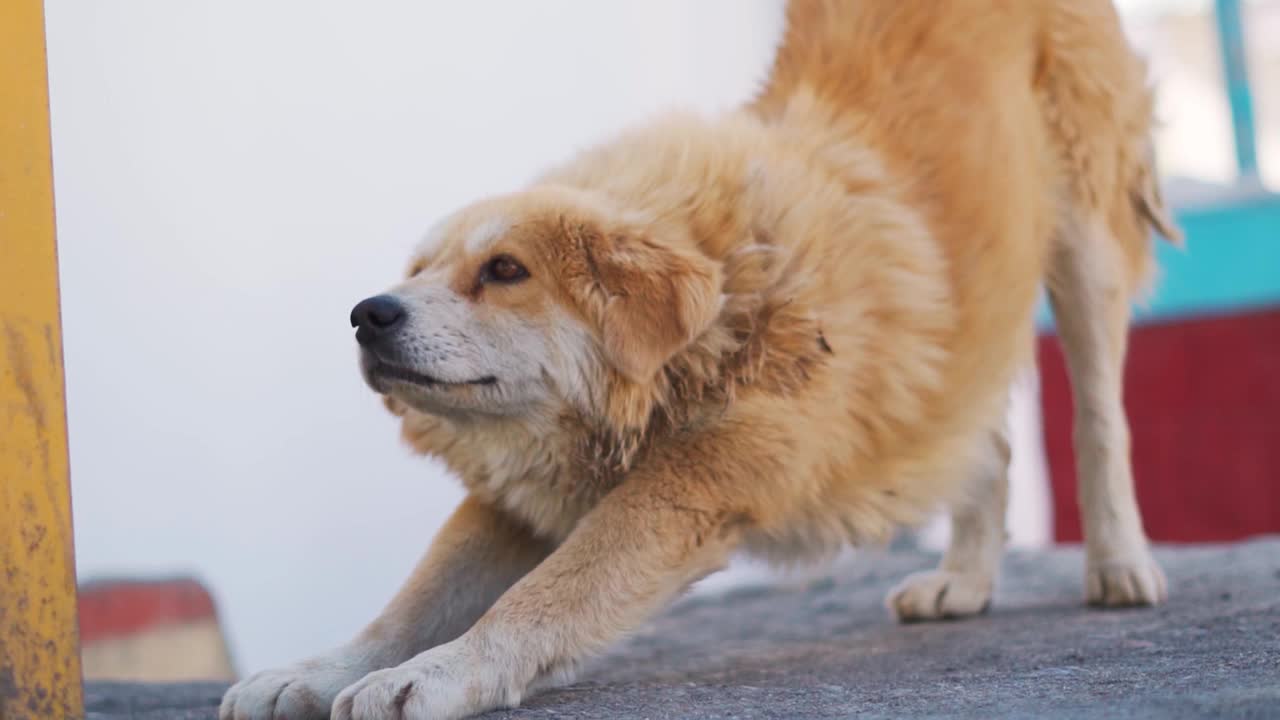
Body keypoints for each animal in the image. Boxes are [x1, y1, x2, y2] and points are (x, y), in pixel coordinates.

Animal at [220, 2, 1177, 712]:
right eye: (417, 271)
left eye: (505, 271)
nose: (368, 315)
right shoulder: (527, 498)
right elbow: (412, 601)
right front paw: (317, 671)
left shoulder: (689, 486)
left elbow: (548, 594)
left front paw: (441, 674)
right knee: (986, 436)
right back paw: (964, 582)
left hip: (1087, 241)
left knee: (1099, 417)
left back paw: (1119, 566)